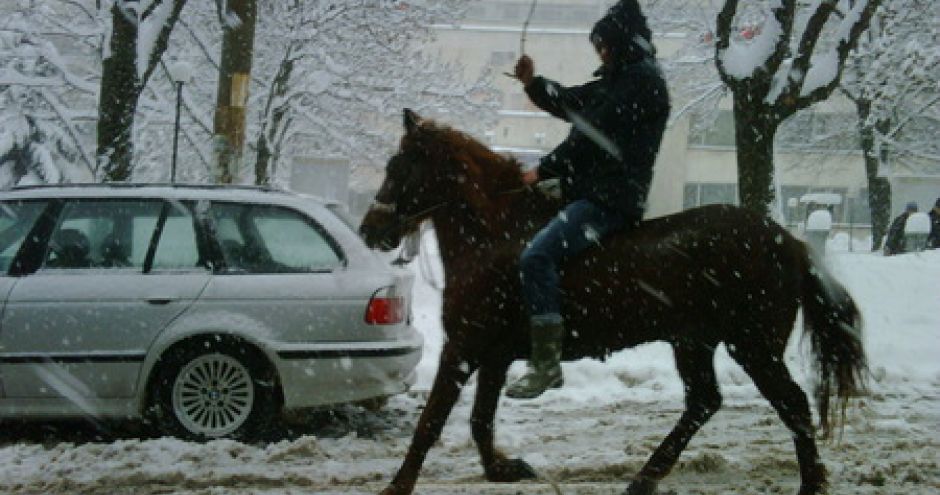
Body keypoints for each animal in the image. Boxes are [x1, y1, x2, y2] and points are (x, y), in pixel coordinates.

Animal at [359, 109, 866, 495]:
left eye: (399, 166)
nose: (370, 230)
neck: (495, 234)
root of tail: (788, 241)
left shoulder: (463, 347)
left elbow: (431, 421)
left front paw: (397, 486)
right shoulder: (494, 354)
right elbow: (480, 419)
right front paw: (501, 469)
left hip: (753, 345)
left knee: (792, 403)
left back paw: (810, 484)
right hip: (694, 342)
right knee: (704, 402)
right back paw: (645, 477)